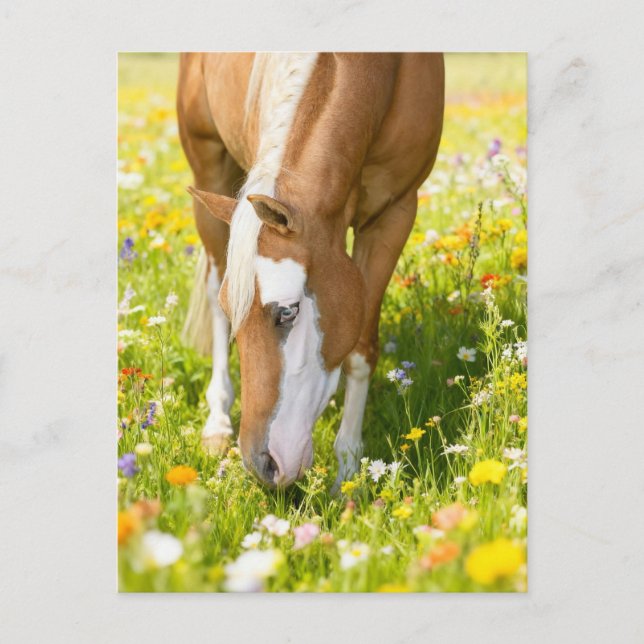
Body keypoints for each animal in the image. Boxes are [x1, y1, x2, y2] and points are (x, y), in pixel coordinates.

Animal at [178, 53, 444, 491]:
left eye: (288, 311)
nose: (262, 466)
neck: (378, 74)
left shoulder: (395, 215)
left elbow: (360, 351)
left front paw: (349, 477)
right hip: (208, 172)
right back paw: (217, 422)